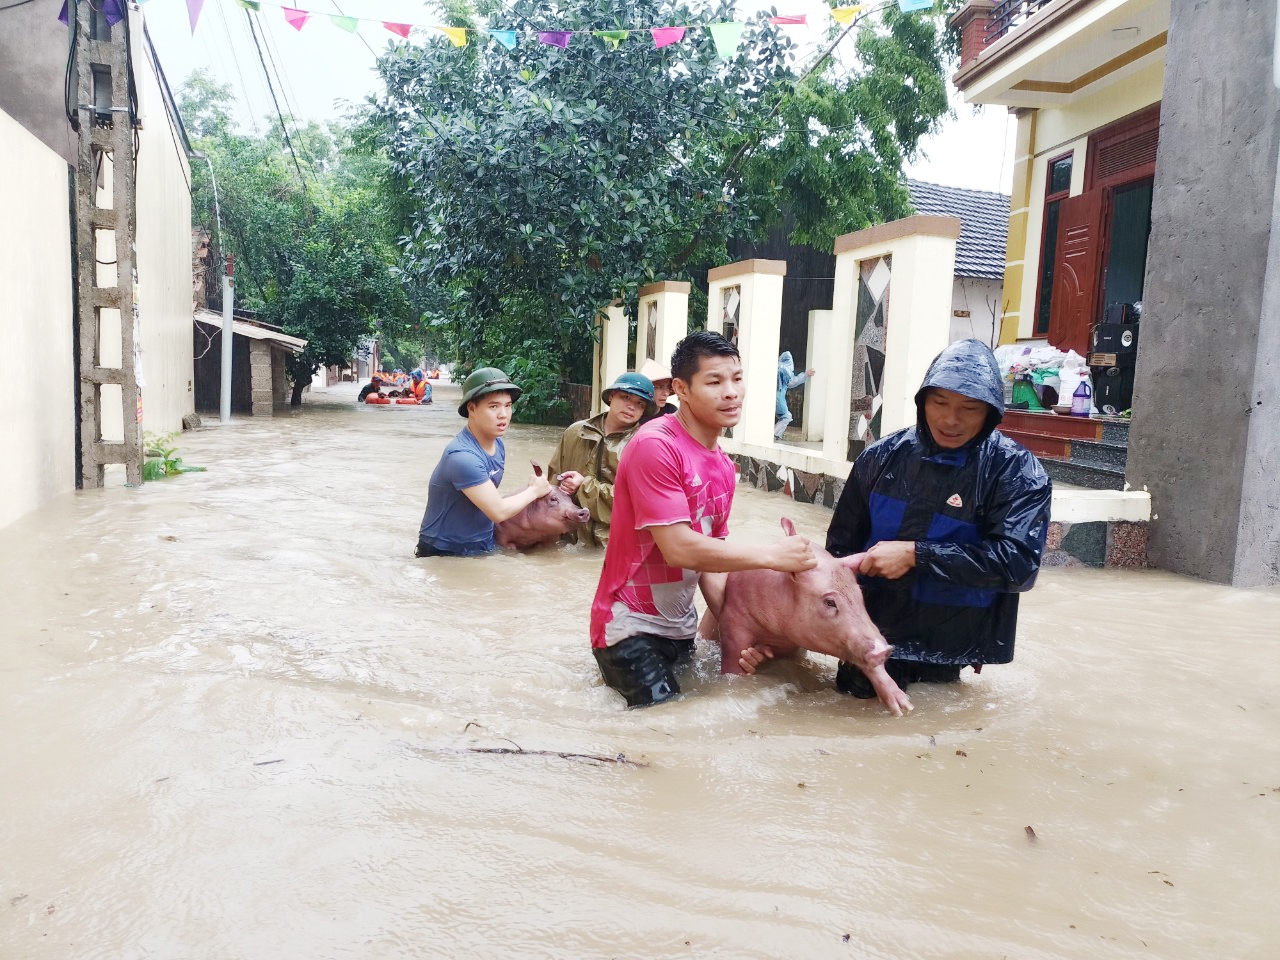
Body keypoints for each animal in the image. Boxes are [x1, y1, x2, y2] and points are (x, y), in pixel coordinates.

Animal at [706, 518, 913, 716]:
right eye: (830, 602)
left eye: (860, 594)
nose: (883, 650)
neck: (777, 631)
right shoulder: (733, 619)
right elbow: (735, 663)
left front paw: (904, 707)